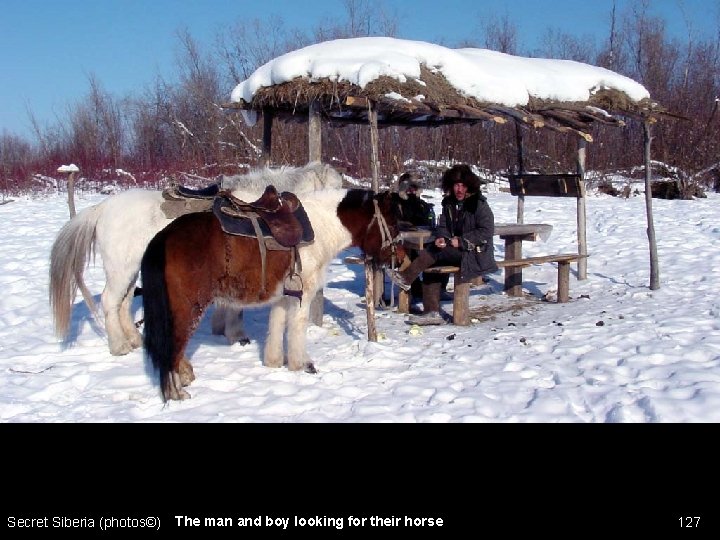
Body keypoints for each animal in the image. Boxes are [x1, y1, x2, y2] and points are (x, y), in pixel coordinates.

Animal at [50, 161, 344, 354]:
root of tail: (102, 208)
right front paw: (237, 335)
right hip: (121, 269)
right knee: (110, 302)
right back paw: (119, 346)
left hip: (131, 270)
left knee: (123, 304)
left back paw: (134, 340)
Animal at [141, 188, 404, 398]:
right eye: (392, 225)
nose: (400, 259)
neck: (321, 227)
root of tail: (163, 237)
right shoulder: (303, 296)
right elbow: (297, 328)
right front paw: (302, 365)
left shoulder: (284, 296)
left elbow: (277, 327)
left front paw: (274, 363)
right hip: (186, 309)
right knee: (172, 350)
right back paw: (178, 394)